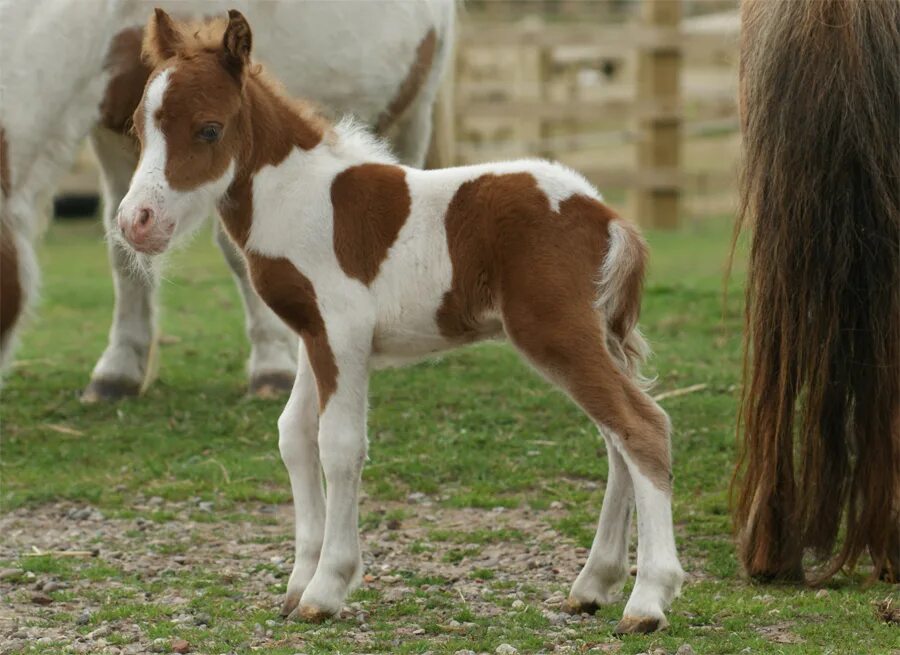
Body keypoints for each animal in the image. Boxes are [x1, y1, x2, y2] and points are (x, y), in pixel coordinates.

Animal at [0, 0, 454, 394]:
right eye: (138, 127)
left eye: (209, 129)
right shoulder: (113, 133)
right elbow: (121, 249)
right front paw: (118, 370)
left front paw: (273, 367)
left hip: (416, 110)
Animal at [118, 11, 684, 636]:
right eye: (137, 129)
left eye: (210, 130)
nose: (136, 222)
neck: (298, 199)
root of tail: (606, 216)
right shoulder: (313, 335)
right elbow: (294, 436)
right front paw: (296, 585)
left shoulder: (343, 334)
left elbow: (339, 444)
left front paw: (326, 589)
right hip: (586, 336)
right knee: (615, 438)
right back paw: (592, 586)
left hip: (555, 331)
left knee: (640, 427)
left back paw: (647, 601)